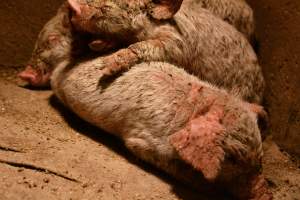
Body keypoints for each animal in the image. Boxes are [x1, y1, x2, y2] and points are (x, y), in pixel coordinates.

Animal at [67, 0, 264, 103]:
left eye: (107, 7)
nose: (72, 4)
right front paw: (95, 44)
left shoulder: (177, 43)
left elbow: (147, 46)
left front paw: (106, 67)